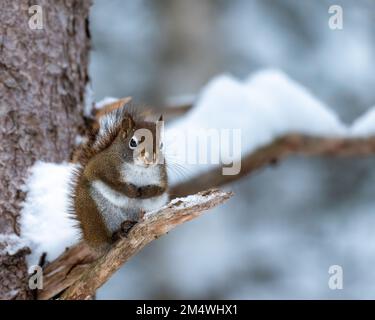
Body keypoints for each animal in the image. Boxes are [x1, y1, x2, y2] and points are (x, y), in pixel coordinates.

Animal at [71, 101, 168, 251]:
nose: (150, 159)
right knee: (107, 239)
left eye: (161, 144)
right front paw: (132, 191)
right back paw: (117, 233)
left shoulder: (161, 176)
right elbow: (112, 183)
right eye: (133, 142)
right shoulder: (100, 167)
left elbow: (160, 190)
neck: (140, 169)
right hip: (96, 214)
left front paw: (145, 192)